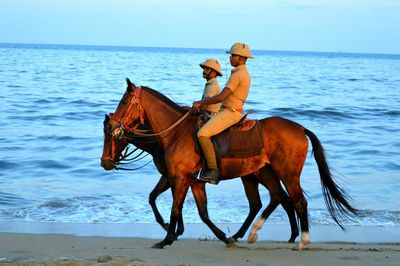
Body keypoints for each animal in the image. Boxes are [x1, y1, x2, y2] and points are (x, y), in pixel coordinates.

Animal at [101, 100, 298, 243]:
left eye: (110, 136)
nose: (104, 163)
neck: (169, 137)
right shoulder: (175, 177)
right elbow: (159, 198)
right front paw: (174, 229)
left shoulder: (176, 177)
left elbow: (174, 203)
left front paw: (171, 230)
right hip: (254, 176)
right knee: (272, 201)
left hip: (261, 175)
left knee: (278, 199)